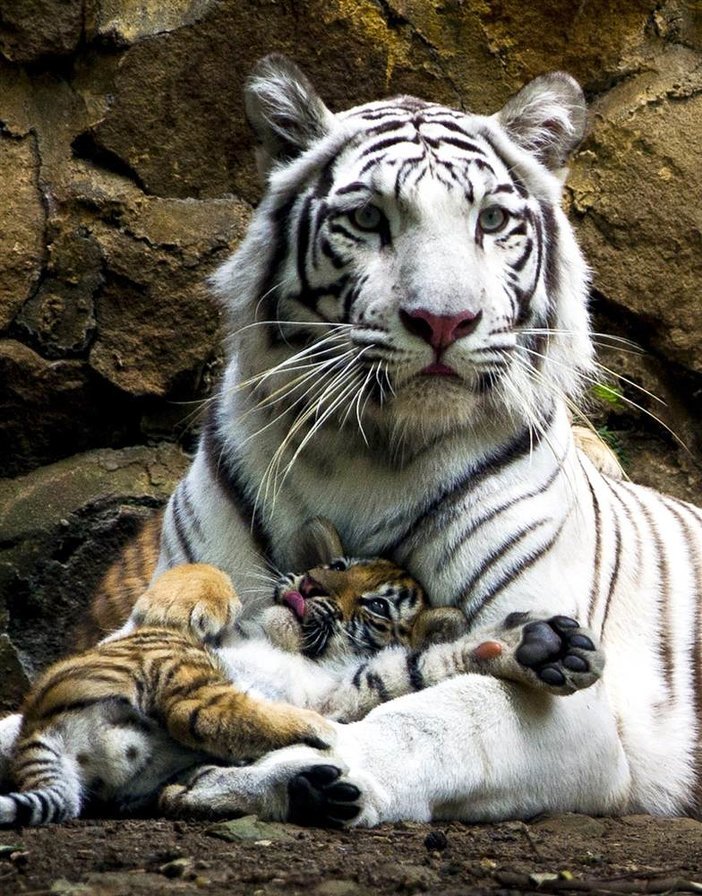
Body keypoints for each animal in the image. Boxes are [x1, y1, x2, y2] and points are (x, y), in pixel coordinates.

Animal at [0, 518, 603, 826]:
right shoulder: (132, 636)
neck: (287, 645)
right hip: (165, 664)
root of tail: (48, 732)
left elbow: (409, 666)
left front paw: (541, 648)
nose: (310, 583)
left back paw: (309, 788)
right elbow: (202, 569)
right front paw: (180, 601)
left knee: (204, 727)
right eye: (337, 566)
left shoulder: (339, 692)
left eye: (376, 605)